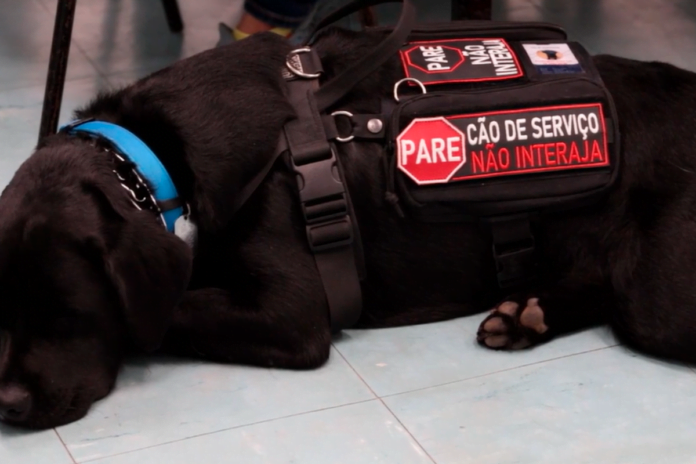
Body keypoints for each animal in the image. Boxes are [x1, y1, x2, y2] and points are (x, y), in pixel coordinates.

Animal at [1, 28, 696, 428]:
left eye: (71, 314)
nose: (7, 405)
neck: (155, 158)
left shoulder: (292, 313)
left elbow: (166, 312)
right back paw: (527, 314)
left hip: (657, 295)